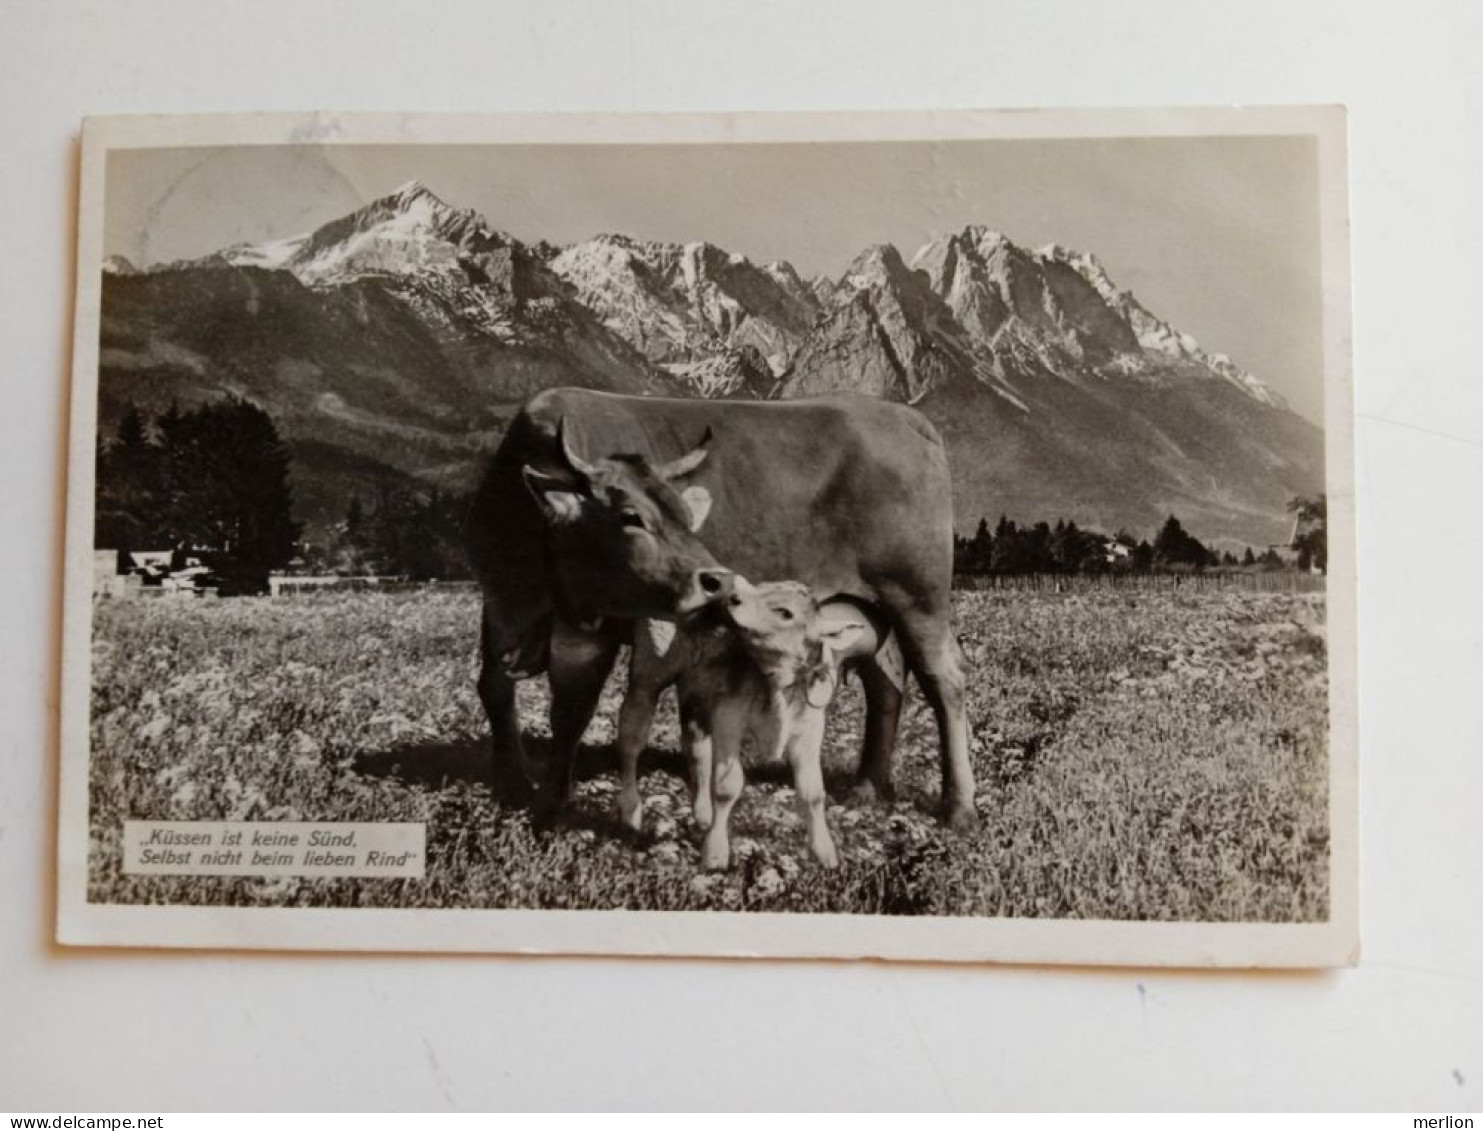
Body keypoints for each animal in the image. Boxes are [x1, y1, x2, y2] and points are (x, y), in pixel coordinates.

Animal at [459, 388, 972, 830]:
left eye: (687, 517)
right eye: (630, 517)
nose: (718, 580)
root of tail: (902, 415)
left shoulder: (592, 627)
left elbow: (572, 708)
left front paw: (551, 803)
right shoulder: (499, 608)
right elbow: (495, 689)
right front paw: (513, 785)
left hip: (918, 597)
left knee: (943, 681)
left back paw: (958, 805)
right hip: (867, 610)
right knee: (885, 681)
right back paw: (869, 786)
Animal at [610, 578, 877, 871]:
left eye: (785, 612)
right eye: (762, 587)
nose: (733, 598)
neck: (779, 682)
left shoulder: (810, 729)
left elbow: (813, 793)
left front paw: (825, 853)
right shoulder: (728, 717)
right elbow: (727, 787)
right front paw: (715, 852)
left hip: (696, 688)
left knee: (697, 748)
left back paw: (702, 815)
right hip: (649, 670)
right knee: (631, 739)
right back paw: (630, 812)